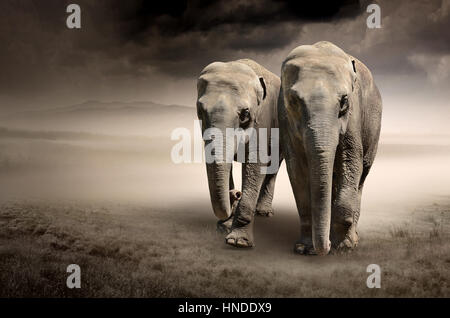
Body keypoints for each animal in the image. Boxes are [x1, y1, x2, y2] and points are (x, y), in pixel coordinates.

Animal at [197, 57, 282, 246]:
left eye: (245, 114)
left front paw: (238, 242)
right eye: (200, 112)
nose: (235, 193)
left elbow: (255, 164)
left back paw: (263, 212)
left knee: (273, 167)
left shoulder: (263, 119)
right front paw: (225, 227)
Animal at [280, 41, 382, 256]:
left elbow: (351, 161)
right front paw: (303, 248)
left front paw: (343, 246)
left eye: (344, 101)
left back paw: (351, 238)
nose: (325, 247)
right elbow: (297, 169)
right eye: (293, 101)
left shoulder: (353, 115)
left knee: (362, 176)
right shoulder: (284, 118)